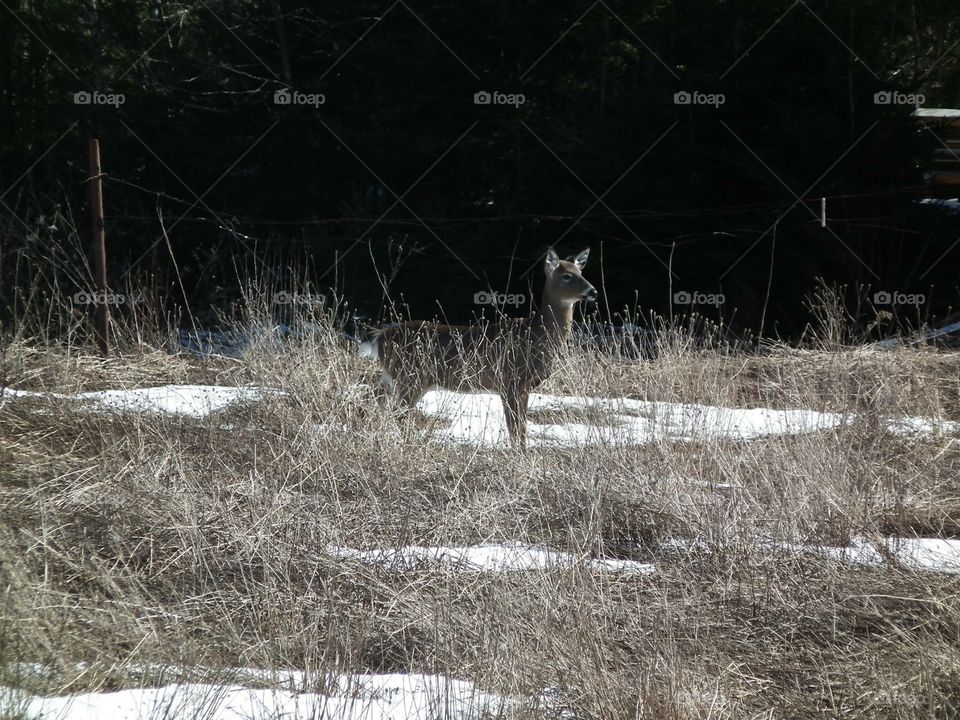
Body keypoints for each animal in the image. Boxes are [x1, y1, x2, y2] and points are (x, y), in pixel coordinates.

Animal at [360, 250, 600, 448]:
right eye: (566, 275)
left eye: (581, 270)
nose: (593, 291)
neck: (536, 335)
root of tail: (380, 337)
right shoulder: (511, 380)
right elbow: (516, 427)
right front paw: (519, 456)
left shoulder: (520, 386)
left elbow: (520, 427)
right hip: (411, 375)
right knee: (398, 412)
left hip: (394, 376)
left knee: (372, 399)